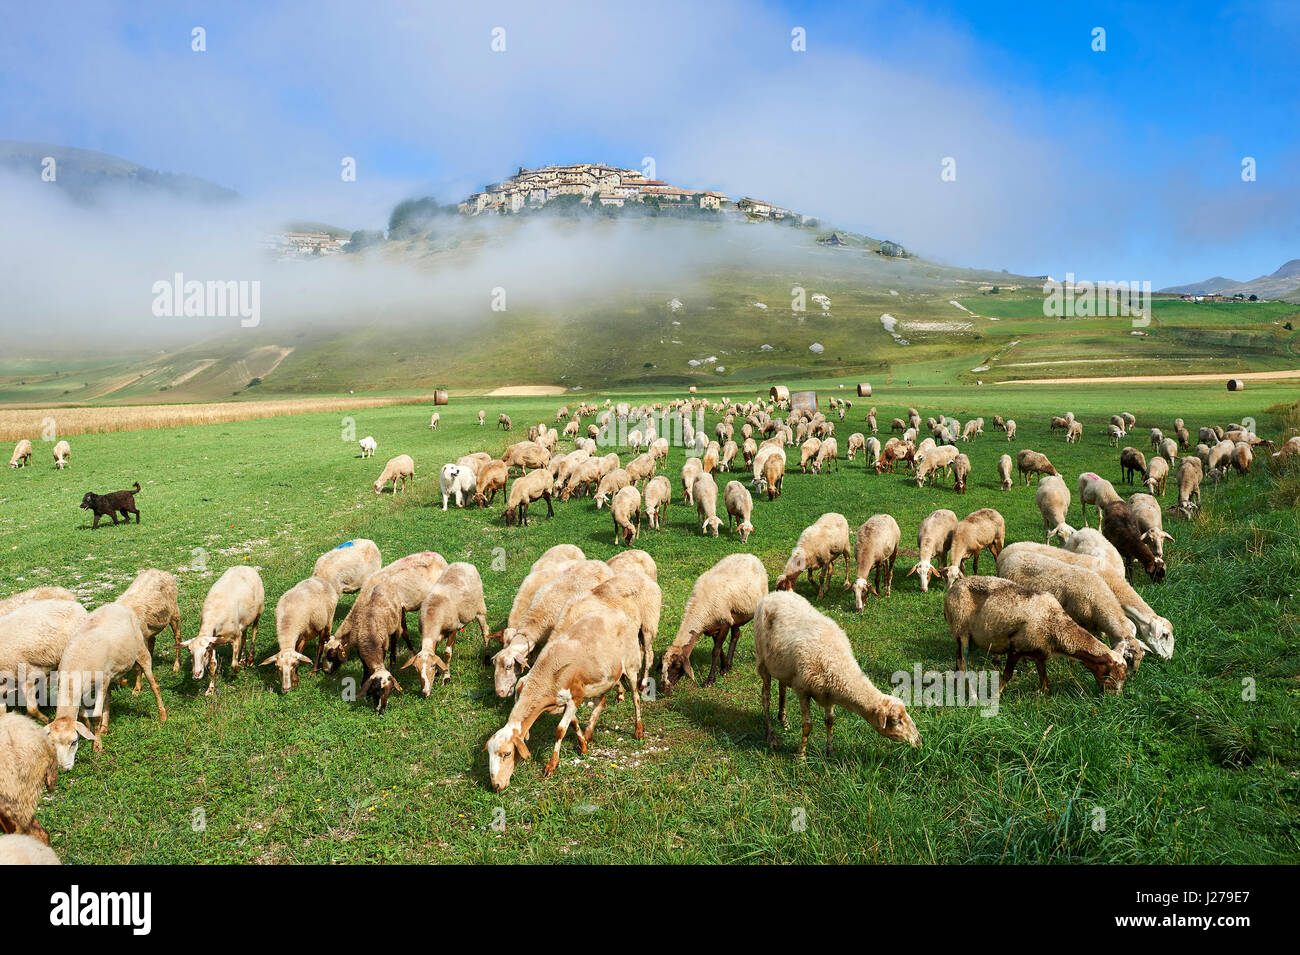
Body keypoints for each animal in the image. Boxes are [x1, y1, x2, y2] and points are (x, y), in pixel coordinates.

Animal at [45, 605, 166, 769]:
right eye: (52, 744)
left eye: (73, 742)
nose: (64, 768)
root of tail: (118, 605)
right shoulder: (85, 691)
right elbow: (83, 715)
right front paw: (91, 732)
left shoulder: (101, 682)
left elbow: (96, 715)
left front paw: (97, 746)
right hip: (112, 671)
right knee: (110, 696)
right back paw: (104, 728)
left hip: (141, 650)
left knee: (154, 683)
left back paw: (162, 715)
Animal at [180, 563, 263, 696]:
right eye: (190, 652)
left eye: (204, 653)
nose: (196, 674)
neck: (213, 617)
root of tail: (246, 566)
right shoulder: (213, 641)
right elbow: (212, 666)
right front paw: (210, 690)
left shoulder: (235, 636)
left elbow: (233, 664)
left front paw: (237, 669)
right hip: (244, 620)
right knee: (245, 634)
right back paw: (243, 658)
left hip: (259, 610)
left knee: (255, 630)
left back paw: (250, 659)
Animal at [754, 589, 925, 753]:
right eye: (896, 721)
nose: (919, 740)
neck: (837, 664)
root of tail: (775, 593)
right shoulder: (802, 690)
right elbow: (807, 726)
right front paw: (801, 756)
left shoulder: (828, 695)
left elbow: (830, 721)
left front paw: (830, 752)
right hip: (762, 662)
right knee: (766, 698)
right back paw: (771, 735)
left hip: (781, 666)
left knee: (781, 687)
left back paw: (783, 719)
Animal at [946, 574, 1128, 696]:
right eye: (1110, 677)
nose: (1112, 700)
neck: (1055, 623)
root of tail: (953, 588)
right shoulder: (1016, 648)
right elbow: (1006, 675)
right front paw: (996, 696)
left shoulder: (1040, 655)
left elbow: (1044, 681)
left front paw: (1045, 701)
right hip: (961, 629)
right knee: (963, 664)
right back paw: (973, 696)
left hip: (964, 637)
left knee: (958, 661)